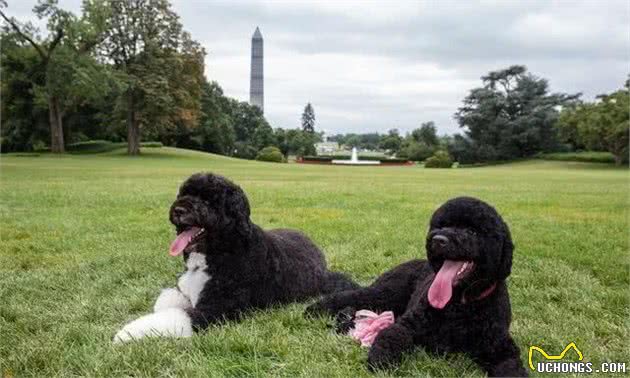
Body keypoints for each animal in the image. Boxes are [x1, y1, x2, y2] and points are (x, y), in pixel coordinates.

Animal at [115, 173, 358, 344]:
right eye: (183, 193)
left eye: (208, 201)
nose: (178, 210)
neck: (220, 251)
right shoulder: (186, 290)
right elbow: (166, 301)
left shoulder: (217, 309)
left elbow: (175, 316)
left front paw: (127, 333)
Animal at [306, 196, 528, 376]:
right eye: (441, 225)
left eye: (472, 231)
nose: (438, 239)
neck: (460, 304)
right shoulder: (409, 325)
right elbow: (391, 336)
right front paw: (380, 360)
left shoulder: (500, 346)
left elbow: (511, 367)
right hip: (384, 294)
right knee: (351, 296)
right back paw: (314, 309)